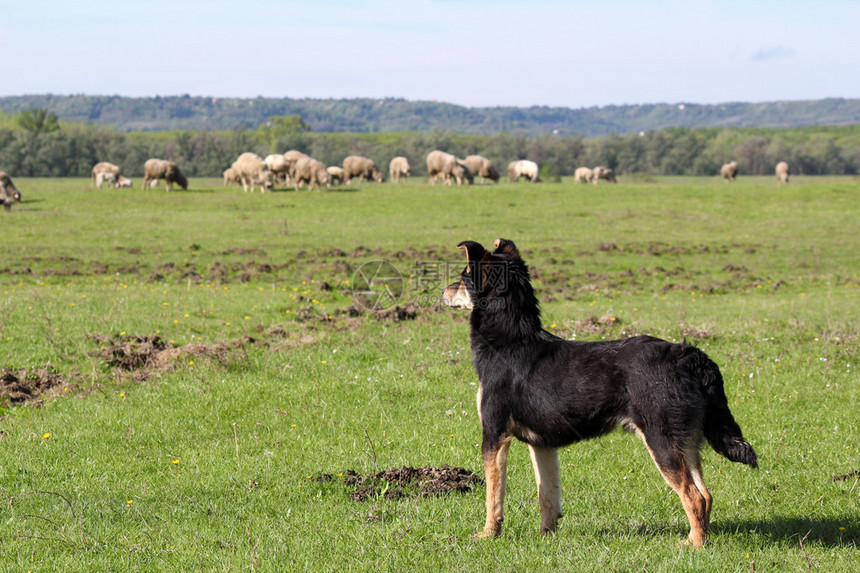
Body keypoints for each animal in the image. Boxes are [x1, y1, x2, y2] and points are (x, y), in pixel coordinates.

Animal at [446, 237, 756, 544]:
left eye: (463, 276)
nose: (443, 292)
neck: (510, 341)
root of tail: (686, 355)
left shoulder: (494, 435)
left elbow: (493, 496)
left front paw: (488, 534)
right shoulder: (542, 443)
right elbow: (547, 495)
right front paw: (546, 535)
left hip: (662, 440)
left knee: (693, 496)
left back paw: (694, 546)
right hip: (686, 439)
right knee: (706, 494)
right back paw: (698, 537)